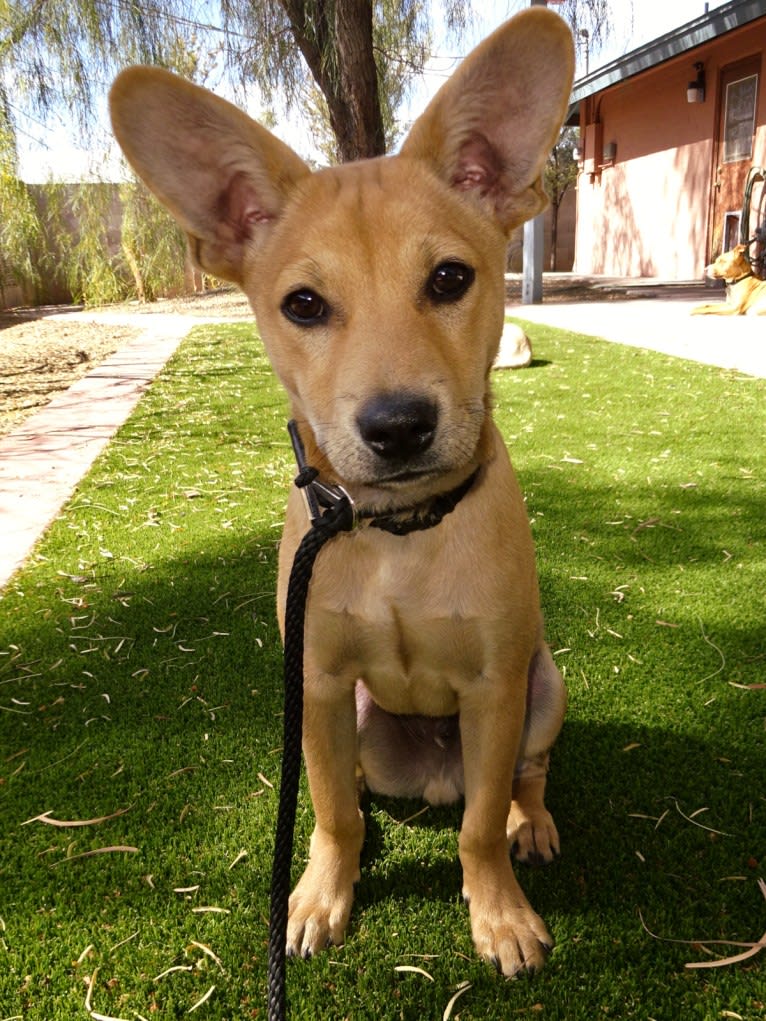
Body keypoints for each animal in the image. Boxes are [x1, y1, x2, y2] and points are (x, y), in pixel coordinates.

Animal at [108, 9, 576, 980]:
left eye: (450, 278)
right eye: (304, 304)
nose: (398, 426)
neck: (396, 532)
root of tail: (433, 767)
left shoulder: (494, 685)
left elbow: (477, 829)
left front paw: (499, 913)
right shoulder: (318, 682)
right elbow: (326, 811)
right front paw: (323, 895)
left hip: (542, 683)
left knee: (521, 775)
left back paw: (534, 823)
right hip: (359, 719)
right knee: (356, 788)